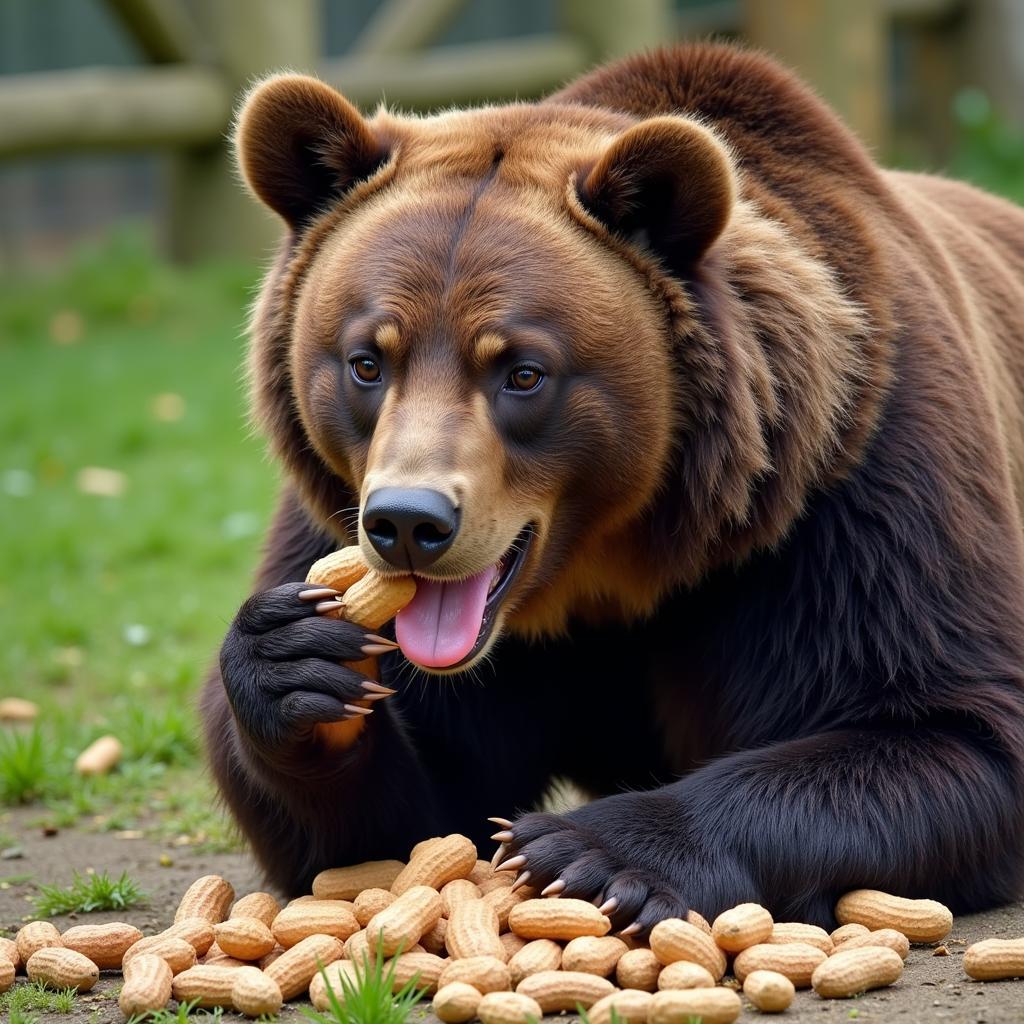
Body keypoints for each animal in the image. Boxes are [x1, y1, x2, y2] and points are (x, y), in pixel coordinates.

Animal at [201, 44, 1024, 933]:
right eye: (366, 360)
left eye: (523, 371)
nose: (409, 523)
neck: (617, 560)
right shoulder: (343, 525)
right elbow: (403, 825)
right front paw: (295, 659)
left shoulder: (852, 490)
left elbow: (950, 723)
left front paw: (589, 851)